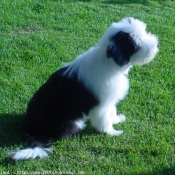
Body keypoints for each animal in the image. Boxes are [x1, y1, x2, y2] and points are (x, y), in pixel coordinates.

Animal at [10, 17, 159, 161]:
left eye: (144, 32)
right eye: (137, 42)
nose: (157, 44)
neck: (108, 62)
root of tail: (31, 129)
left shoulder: (109, 99)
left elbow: (112, 111)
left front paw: (116, 119)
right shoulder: (101, 105)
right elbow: (104, 119)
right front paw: (112, 132)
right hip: (71, 123)